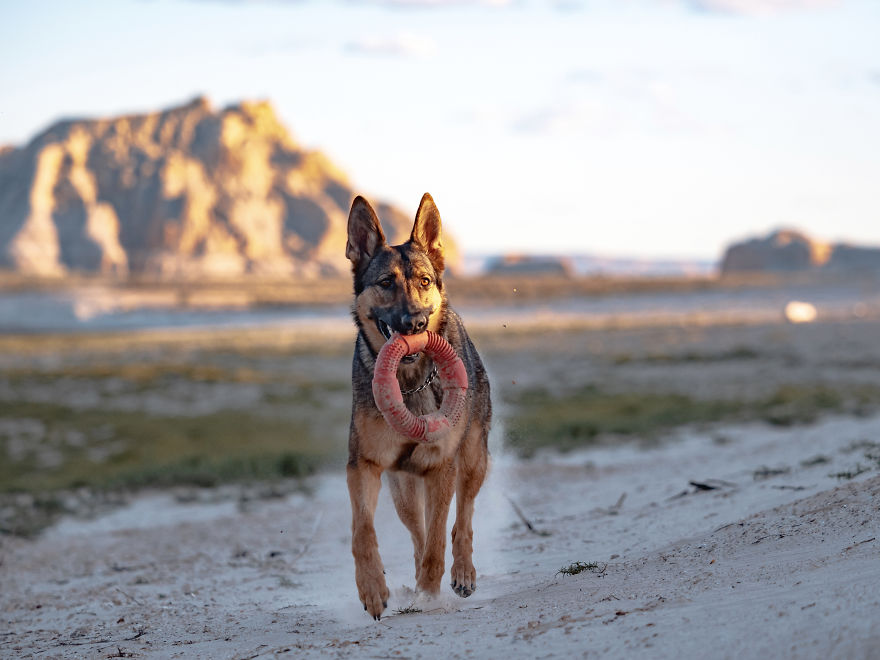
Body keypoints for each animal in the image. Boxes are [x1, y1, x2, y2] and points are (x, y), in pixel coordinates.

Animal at [346, 191, 496, 620]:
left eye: (424, 282)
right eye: (385, 283)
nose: (413, 325)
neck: (410, 383)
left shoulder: (442, 467)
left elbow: (438, 540)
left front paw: (430, 593)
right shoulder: (364, 465)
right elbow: (363, 531)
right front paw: (373, 589)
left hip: (473, 461)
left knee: (461, 519)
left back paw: (462, 573)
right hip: (402, 490)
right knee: (417, 532)